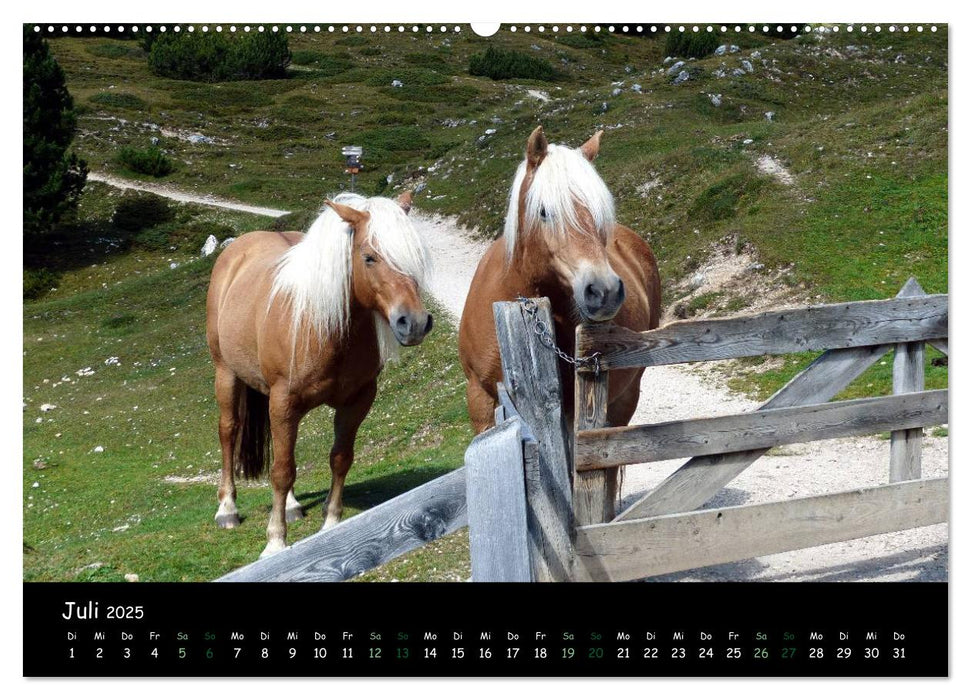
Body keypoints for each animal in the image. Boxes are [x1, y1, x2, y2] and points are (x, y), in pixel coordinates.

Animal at [208, 191, 432, 556]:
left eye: (416, 254)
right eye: (369, 257)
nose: (413, 323)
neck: (324, 327)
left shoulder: (357, 401)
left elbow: (339, 458)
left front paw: (331, 523)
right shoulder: (284, 402)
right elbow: (282, 471)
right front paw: (275, 541)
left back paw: (291, 506)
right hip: (226, 373)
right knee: (229, 431)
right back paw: (227, 509)